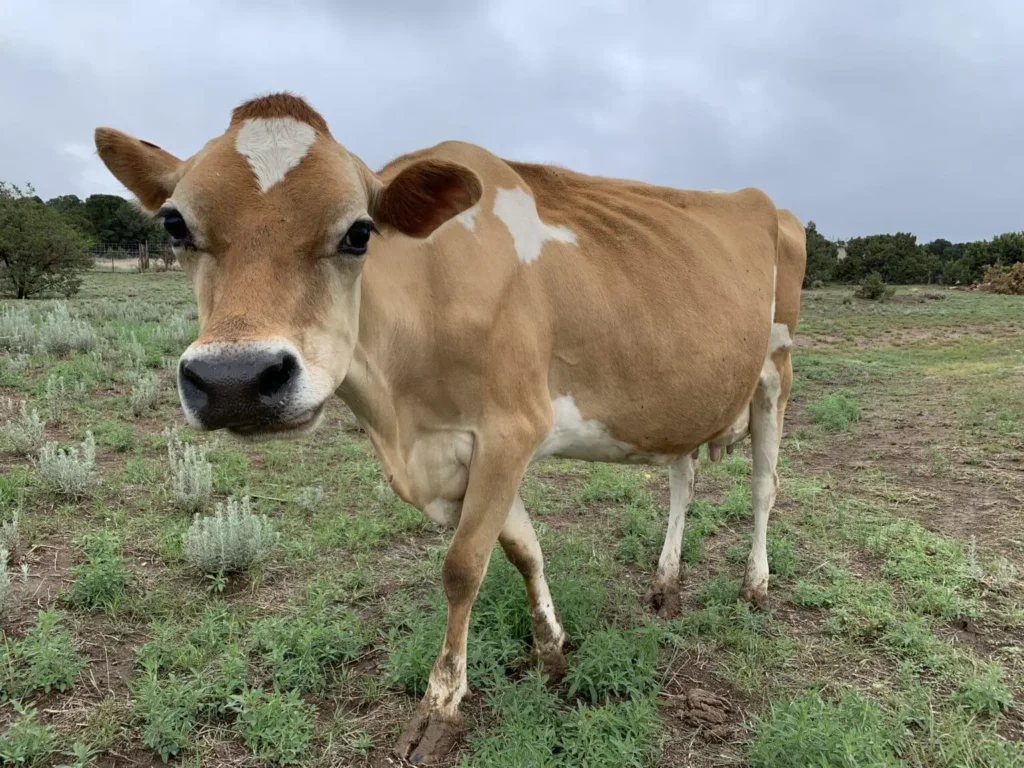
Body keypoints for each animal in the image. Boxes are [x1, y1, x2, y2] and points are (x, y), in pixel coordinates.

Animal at [93, 92, 805, 765]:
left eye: (359, 232)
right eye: (175, 224)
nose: (235, 380)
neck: (401, 417)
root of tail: (767, 202)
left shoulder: (511, 428)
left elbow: (464, 565)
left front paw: (441, 704)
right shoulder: (467, 449)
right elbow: (522, 549)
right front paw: (552, 648)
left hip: (776, 368)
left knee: (765, 488)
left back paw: (755, 585)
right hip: (684, 398)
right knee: (682, 476)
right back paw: (666, 583)